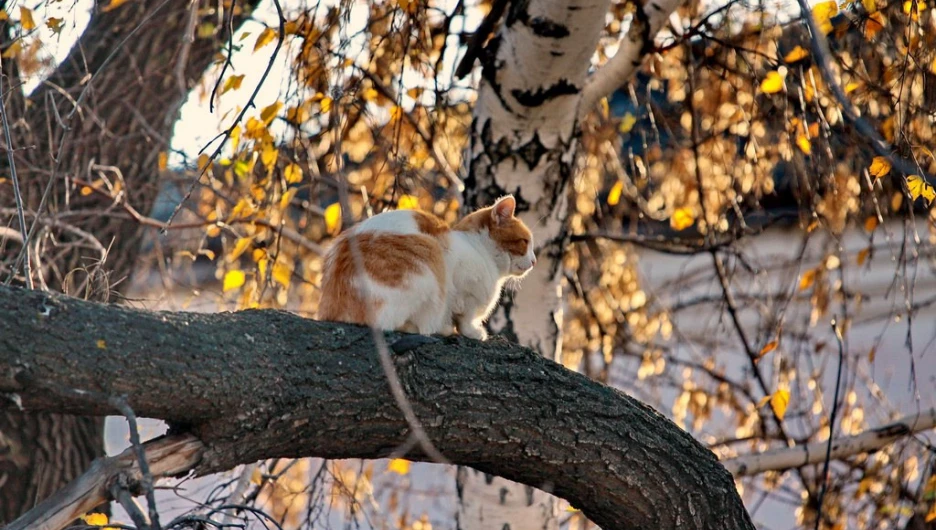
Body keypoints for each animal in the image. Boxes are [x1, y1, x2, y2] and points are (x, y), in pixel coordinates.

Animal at [318, 195, 532, 338]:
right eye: (524, 242)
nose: (534, 261)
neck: (478, 248)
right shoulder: (465, 293)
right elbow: (465, 318)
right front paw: (472, 332)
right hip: (429, 256)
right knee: (397, 324)